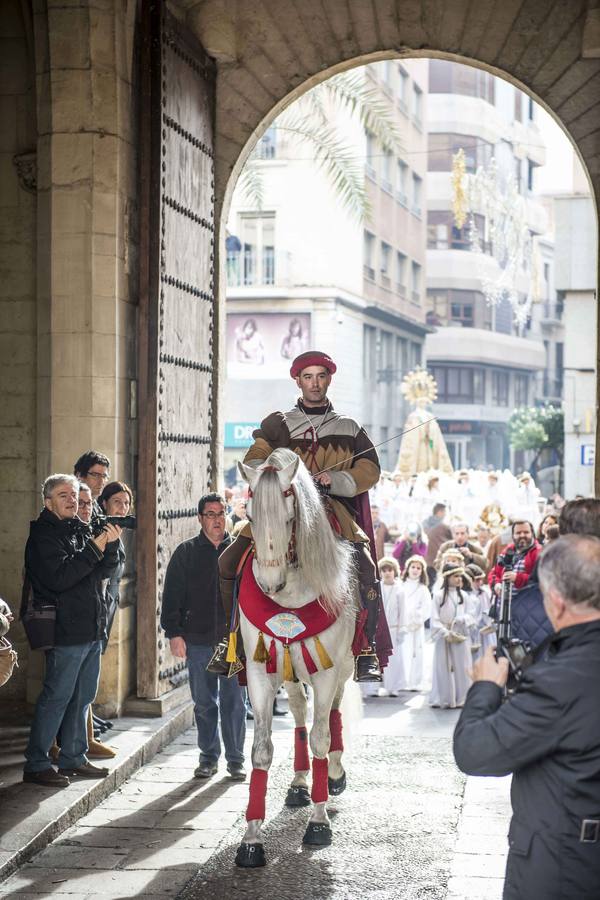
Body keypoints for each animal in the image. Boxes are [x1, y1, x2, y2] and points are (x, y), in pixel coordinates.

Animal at [233, 448, 356, 864]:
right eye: (250, 514)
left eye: (290, 518)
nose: (270, 584)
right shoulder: (260, 672)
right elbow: (261, 751)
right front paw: (251, 839)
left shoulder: (326, 670)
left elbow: (320, 738)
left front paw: (318, 824)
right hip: (290, 669)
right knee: (301, 715)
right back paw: (301, 783)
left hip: (342, 666)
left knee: (331, 715)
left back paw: (332, 776)